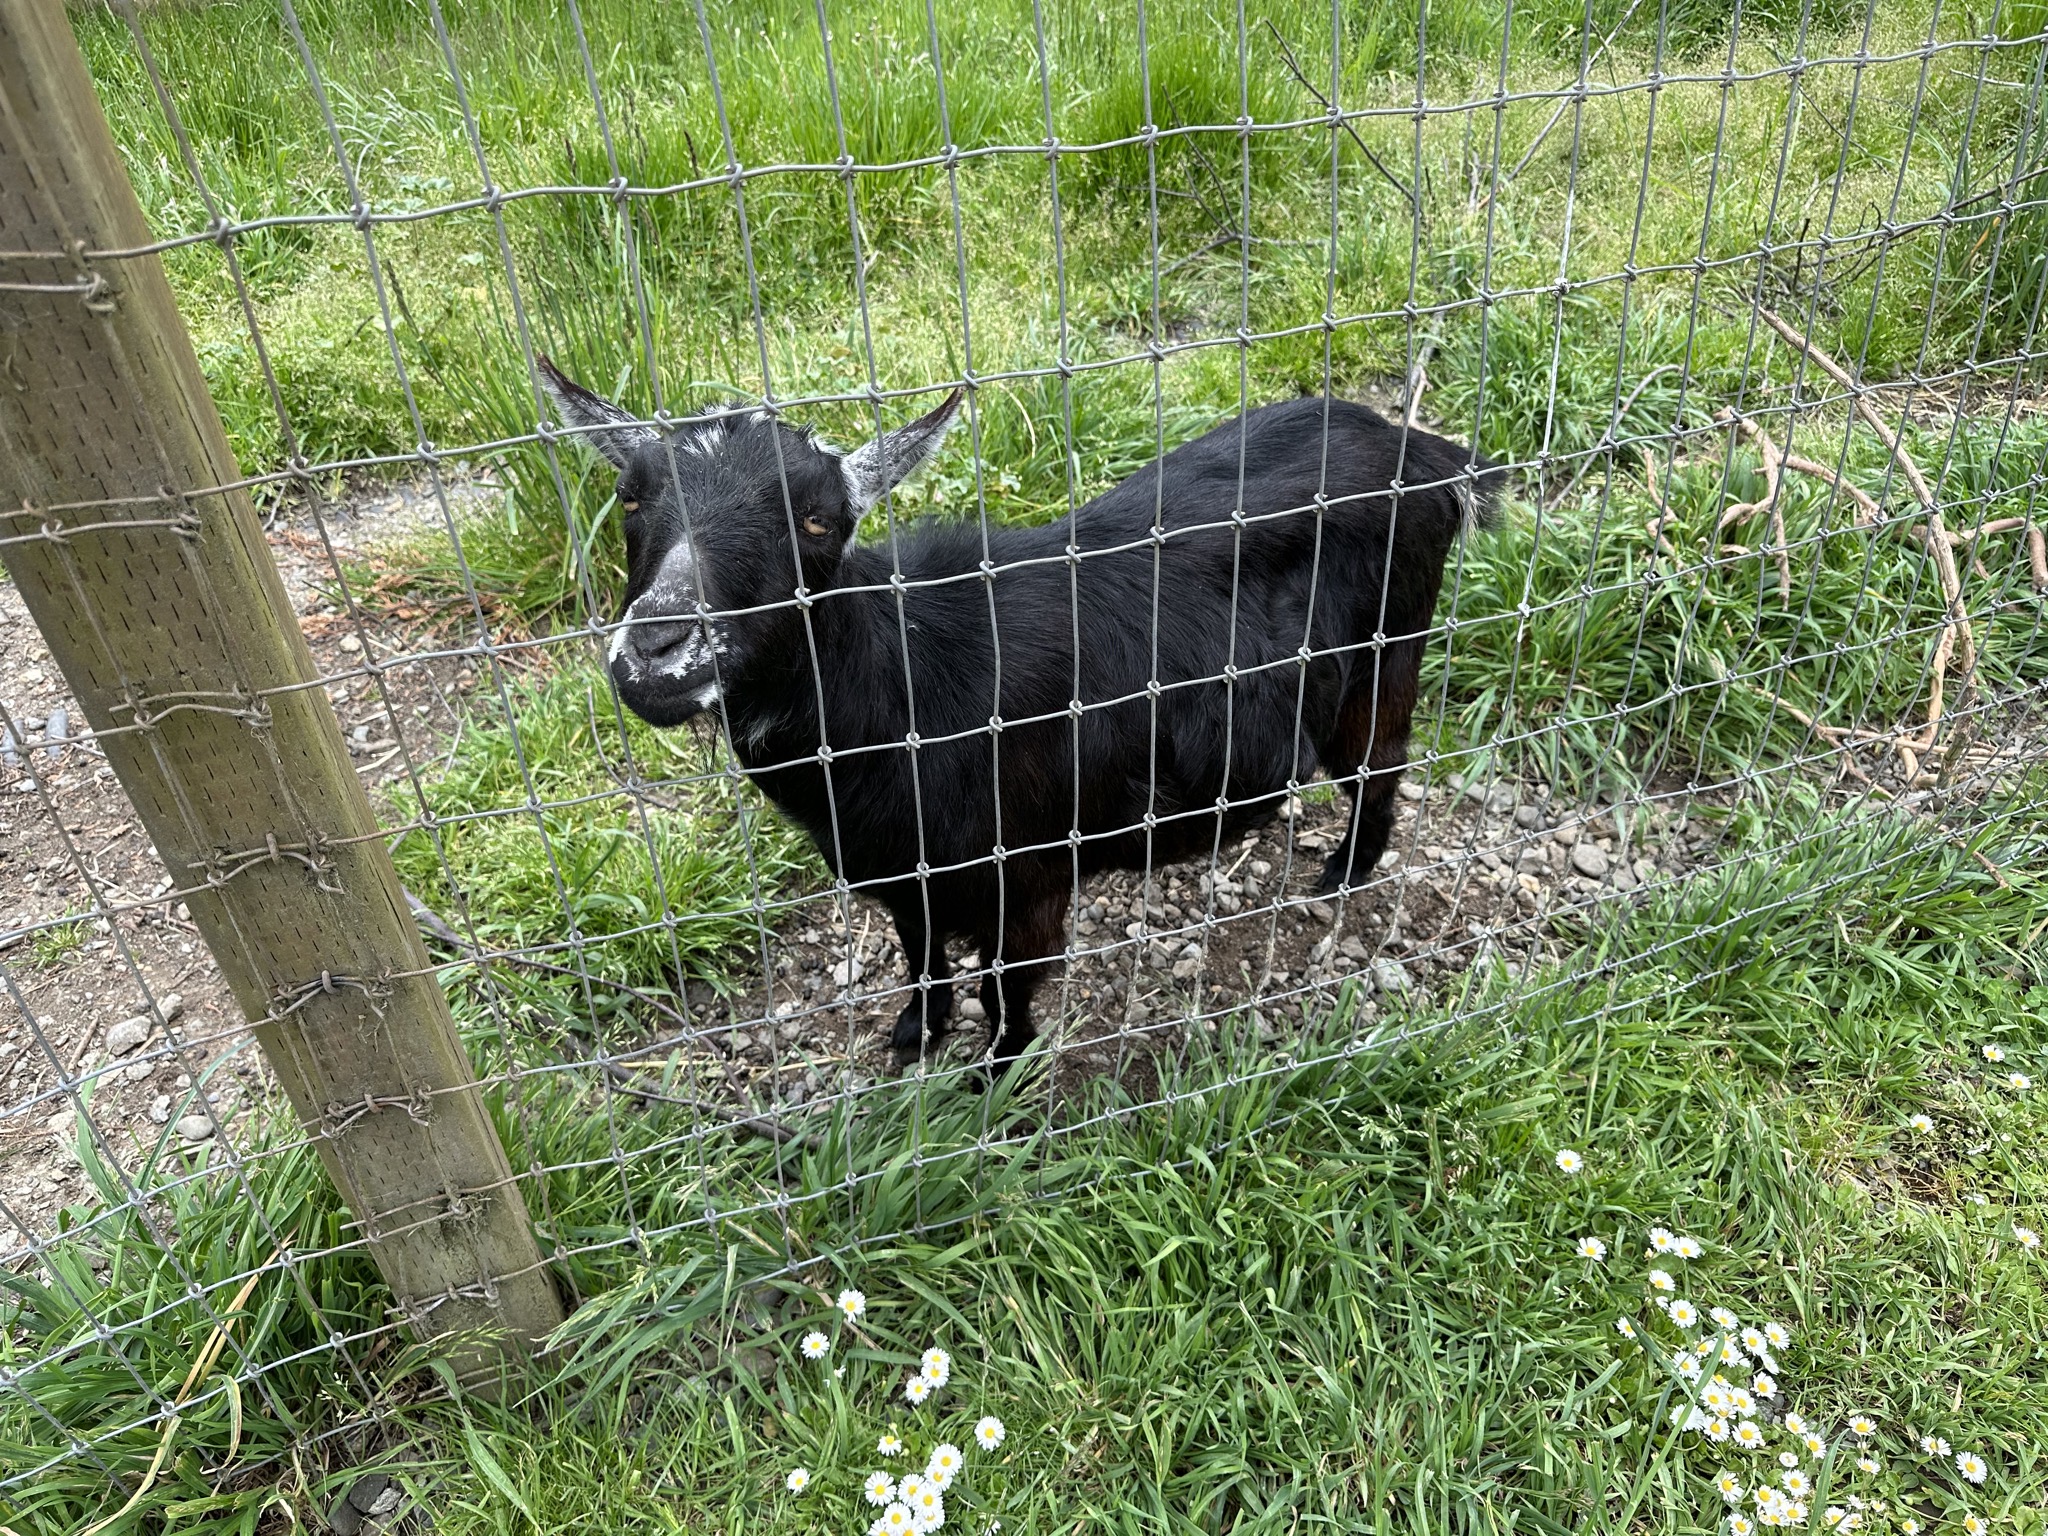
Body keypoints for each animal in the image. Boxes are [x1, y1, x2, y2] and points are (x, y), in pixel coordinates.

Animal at [540, 357, 1502, 1075]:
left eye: (819, 520)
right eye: (630, 497)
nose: (657, 653)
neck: (903, 681)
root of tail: (1424, 453)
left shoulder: (1025, 878)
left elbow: (1006, 987)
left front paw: (995, 1078)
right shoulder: (904, 870)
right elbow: (918, 949)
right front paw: (914, 1035)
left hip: (1385, 659)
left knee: (1382, 769)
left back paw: (1343, 874)